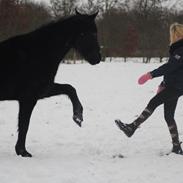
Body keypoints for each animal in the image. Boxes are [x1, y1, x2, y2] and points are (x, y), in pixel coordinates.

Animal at [0, 10, 101, 157]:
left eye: (95, 32)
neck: (37, 53)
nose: (97, 58)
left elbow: (70, 88)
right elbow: (24, 124)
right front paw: (23, 152)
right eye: (89, 33)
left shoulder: (44, 91)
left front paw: (78, 116)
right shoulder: (29, 98)